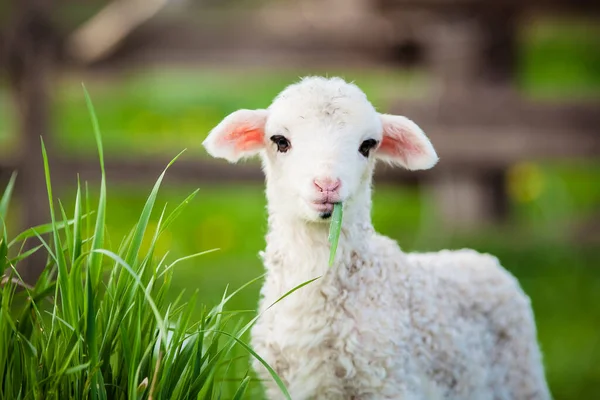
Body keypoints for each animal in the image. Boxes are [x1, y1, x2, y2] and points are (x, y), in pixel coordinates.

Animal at [203, 76, 552, 400]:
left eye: (367, 145)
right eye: (280, 141)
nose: (327, 185)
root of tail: (481, 258)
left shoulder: (390, 383)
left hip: (523, 375)